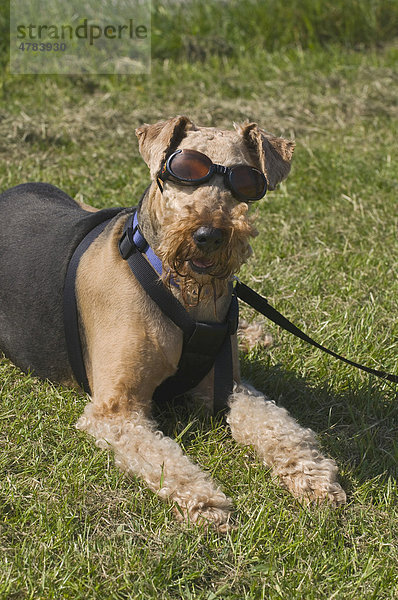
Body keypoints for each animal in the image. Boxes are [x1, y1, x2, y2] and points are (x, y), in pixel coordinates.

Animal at [0, 117, 346, 528]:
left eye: (248, 183)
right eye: (183, 170)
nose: (209, 235)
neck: (180, 292)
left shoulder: (229, 386)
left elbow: (278, 425)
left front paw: (314, 478)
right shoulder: (117, 409)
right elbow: (164, 458)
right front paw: (205, 502)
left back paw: (255, 334)